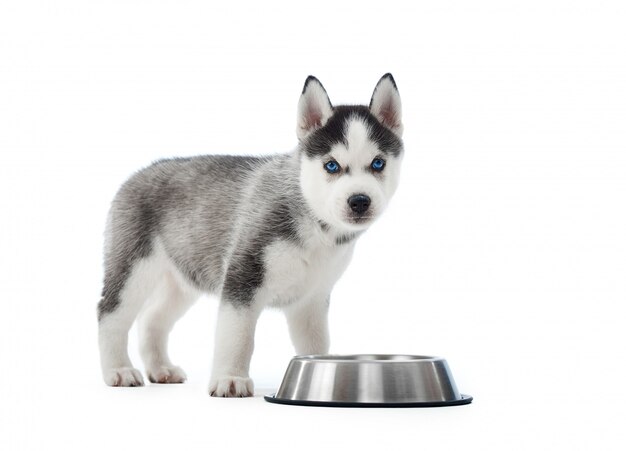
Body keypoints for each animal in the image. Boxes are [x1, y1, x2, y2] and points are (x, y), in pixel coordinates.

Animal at [95, 73, 402, 396]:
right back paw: (118, 369)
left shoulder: (311, 300)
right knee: (110, 312)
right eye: (331, 165)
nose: (359, 201)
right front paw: (231, 378)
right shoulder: (242, 280)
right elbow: (238, 337)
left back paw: (160, 369)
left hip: (182, 278)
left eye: (378, 163)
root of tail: (139, 173)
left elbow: (315, 344)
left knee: (152, 317)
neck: (314, 222)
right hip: (132, 268)